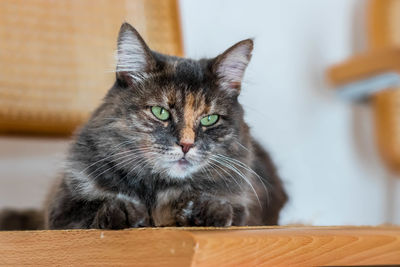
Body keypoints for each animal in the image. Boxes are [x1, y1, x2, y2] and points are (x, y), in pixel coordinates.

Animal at [0, 22, 288, 230]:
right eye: (161, 112)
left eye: (209, 119)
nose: (186, 144)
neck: (157, 189)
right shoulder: (62, 208)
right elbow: (92, 208)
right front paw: (125, 211)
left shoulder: (244, 207)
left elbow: (222, 207)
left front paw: (199, 210)